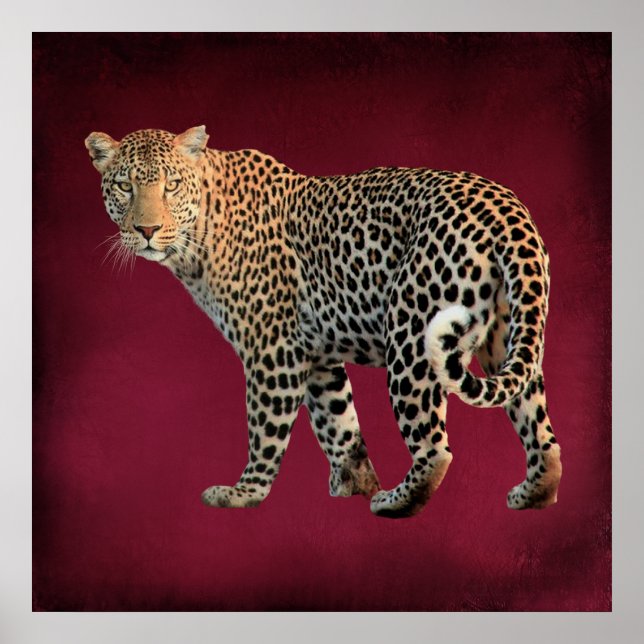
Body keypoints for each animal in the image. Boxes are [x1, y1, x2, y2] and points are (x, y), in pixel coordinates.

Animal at [85, 125, 562, 518]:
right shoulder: (316, 355)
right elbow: (339, 423)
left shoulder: (272, 350)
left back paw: (394, 502)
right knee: (540, 429)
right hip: (509, 335)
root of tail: (507, 209)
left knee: (435, 448)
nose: (147, 230)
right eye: (125, 186)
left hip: (411, 336)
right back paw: (533, 494)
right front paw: (354, 483)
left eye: (171, 186)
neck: (199, 234)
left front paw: (244, 493)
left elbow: (265, 428)